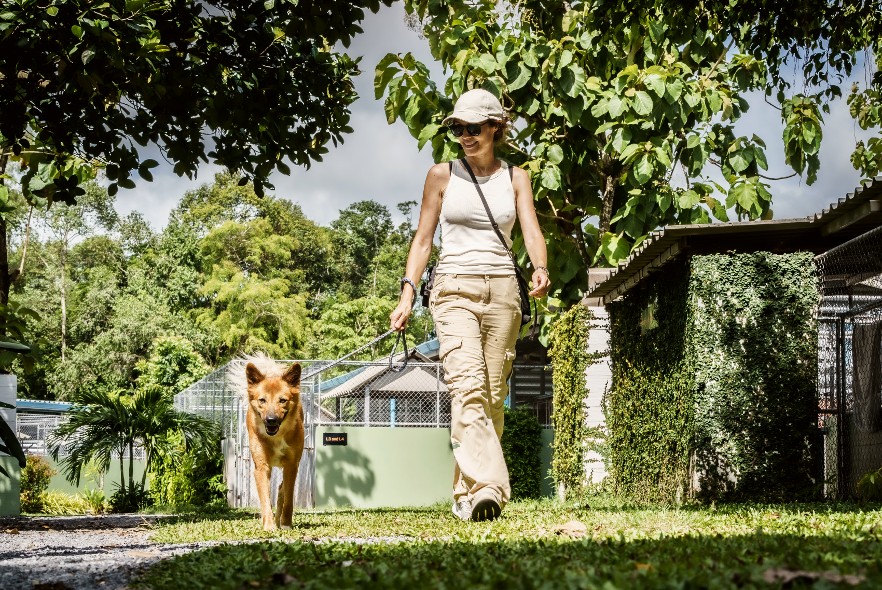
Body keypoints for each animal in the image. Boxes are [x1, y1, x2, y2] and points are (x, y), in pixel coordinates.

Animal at [244, 358, 306, 536]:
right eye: (262, 400)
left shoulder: (292, 465)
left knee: (281, 490)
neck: (276, 437)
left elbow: (288, 498)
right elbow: (265, 499)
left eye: (282, 400)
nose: (271, 420)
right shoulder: (261, 467)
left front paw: (285, 523)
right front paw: (269, 525)